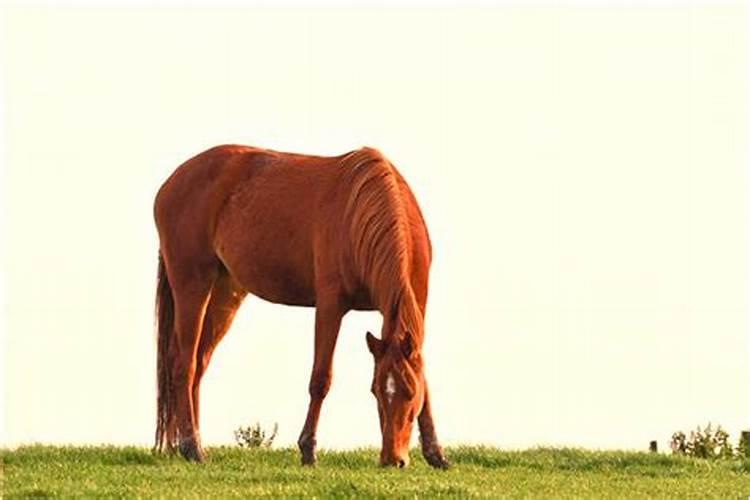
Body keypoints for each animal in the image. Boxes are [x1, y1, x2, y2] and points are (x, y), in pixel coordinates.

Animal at [153, 145, 446, 468]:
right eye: (376, 391)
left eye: (409, 392)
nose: (393, 459)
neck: (362, 213)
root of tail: (171, 183)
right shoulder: (330, 306)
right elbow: (321, 379)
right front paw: (308, 449)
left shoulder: (418, 307)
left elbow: (425, 379)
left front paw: (436, 453)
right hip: (192, 285)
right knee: (184, 364)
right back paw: (191, 446)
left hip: (224, 292)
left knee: (199, 362)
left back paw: (193, 443)